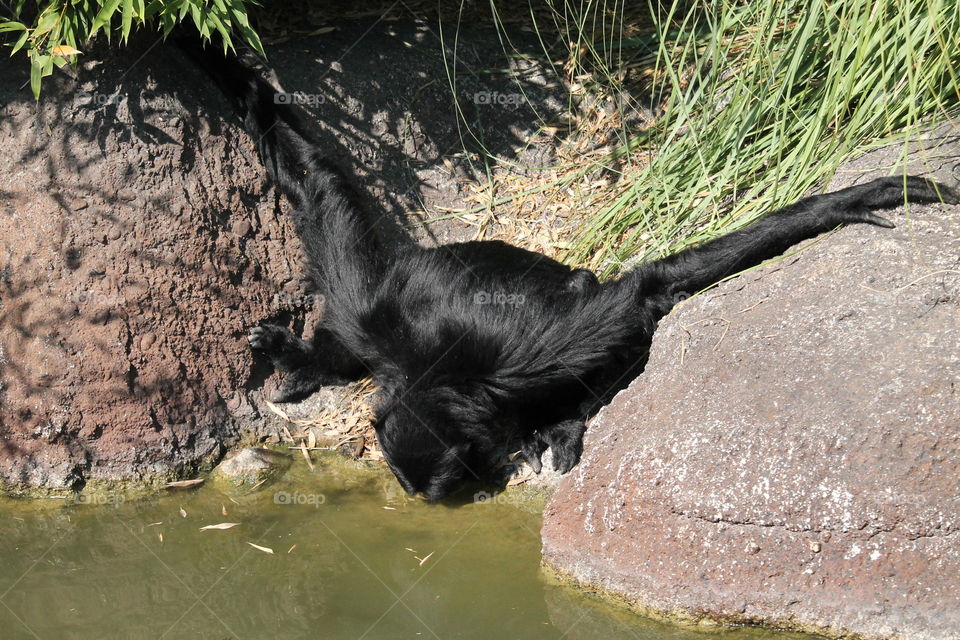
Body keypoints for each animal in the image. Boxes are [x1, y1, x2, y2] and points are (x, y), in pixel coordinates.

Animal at [186, 45, 958, 501]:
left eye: (448, 483)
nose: (474, 493)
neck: (445, 373)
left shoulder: (533, 347)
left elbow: (640, 296)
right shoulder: (370, 312)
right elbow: (317, 186)